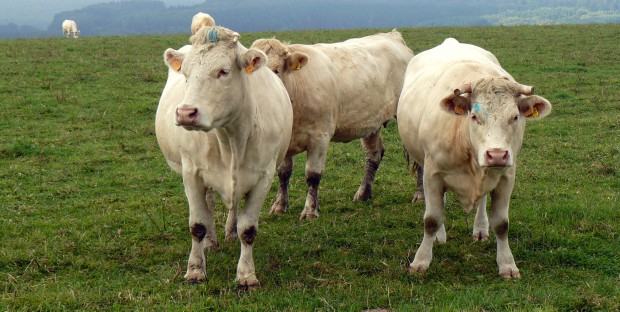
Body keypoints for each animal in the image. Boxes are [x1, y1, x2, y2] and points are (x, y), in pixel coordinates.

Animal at [154, 25, 292, 288]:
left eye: (223, 72)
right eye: (185, 73)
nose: (185, 113)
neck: (230, 138)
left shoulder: (264, 176)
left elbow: (248, 229)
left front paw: (246, 274)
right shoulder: (191, 173)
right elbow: (197, 224)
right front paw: (195, 269)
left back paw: (229, 232)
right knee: (208, 204)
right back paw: (211, 241)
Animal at [249, 29, 414, 219]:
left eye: (276, 70)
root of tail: (392, 35)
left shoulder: (320, 136)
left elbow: (313, 175)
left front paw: (310, 210)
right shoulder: (285, 139)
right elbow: (283, 172)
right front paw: (279, 206)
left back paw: (419, 196)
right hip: (371, 123)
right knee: (373, 155)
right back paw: (363, 194)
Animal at [400, 37, 556, 280]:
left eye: (515, 117)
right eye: (474, 116)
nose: (497, 154)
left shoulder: (506, 177)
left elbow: (501, 224)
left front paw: (507, 264)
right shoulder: (432, 173)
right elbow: (432, 219)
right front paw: (421, 261)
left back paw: (480, 230)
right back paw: (440, 237)